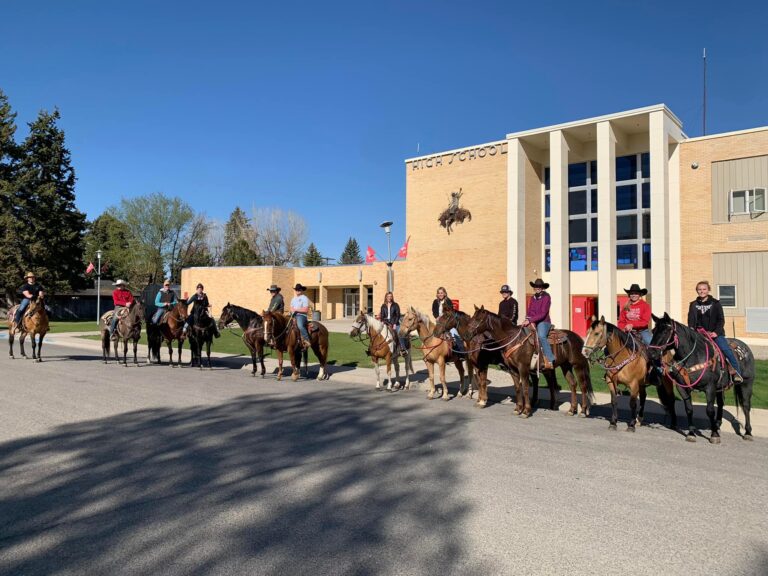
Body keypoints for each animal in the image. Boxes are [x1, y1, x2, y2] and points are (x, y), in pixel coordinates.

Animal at [462, 306, 592, 418]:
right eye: (472, 317)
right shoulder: (512, 369)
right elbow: (517, 388)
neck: (512, 339)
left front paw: (526, 411)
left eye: (478, 319)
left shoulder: (522, 367)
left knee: (582, 386)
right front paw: (518, 408)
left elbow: (524, 387)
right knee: (572, 384)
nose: (466, 334)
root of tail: (579, 339)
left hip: (578, 365)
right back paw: (571, 410)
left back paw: (582, 411)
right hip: (565, 366)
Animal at [648, 312, 756, 444]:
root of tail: (745, 347)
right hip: (720, 387)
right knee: (721, 403)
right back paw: (717, 424)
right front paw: (691, 433)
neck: (694, 356)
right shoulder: (682, 388)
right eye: (653, 331)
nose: (651, 353)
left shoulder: (710, 387)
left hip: (746, 384)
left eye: (666, 331)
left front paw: (714, 435)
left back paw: (748, 432)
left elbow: (710, 410)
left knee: (746, 406)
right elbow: (689, 409)